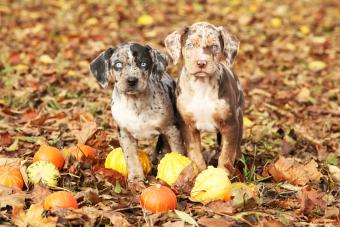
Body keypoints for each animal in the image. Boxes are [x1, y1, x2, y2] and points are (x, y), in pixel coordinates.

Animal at [89, 42, 183, 181]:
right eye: (118, 65)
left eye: (143, 64)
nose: (132, 80)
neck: (135, 104)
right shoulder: (124, 134)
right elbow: (131, 157)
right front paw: (136, 178)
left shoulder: (171, 129)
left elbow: (178, 152)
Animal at [165, 21, 244, 174]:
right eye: (190, 45)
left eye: (214, 46)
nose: (201, 63)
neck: (202, 86)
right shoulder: (188, 125)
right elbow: (194, 153)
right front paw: (199, 172)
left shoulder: (230, 124)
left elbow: (227, 154)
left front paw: (222, 174)